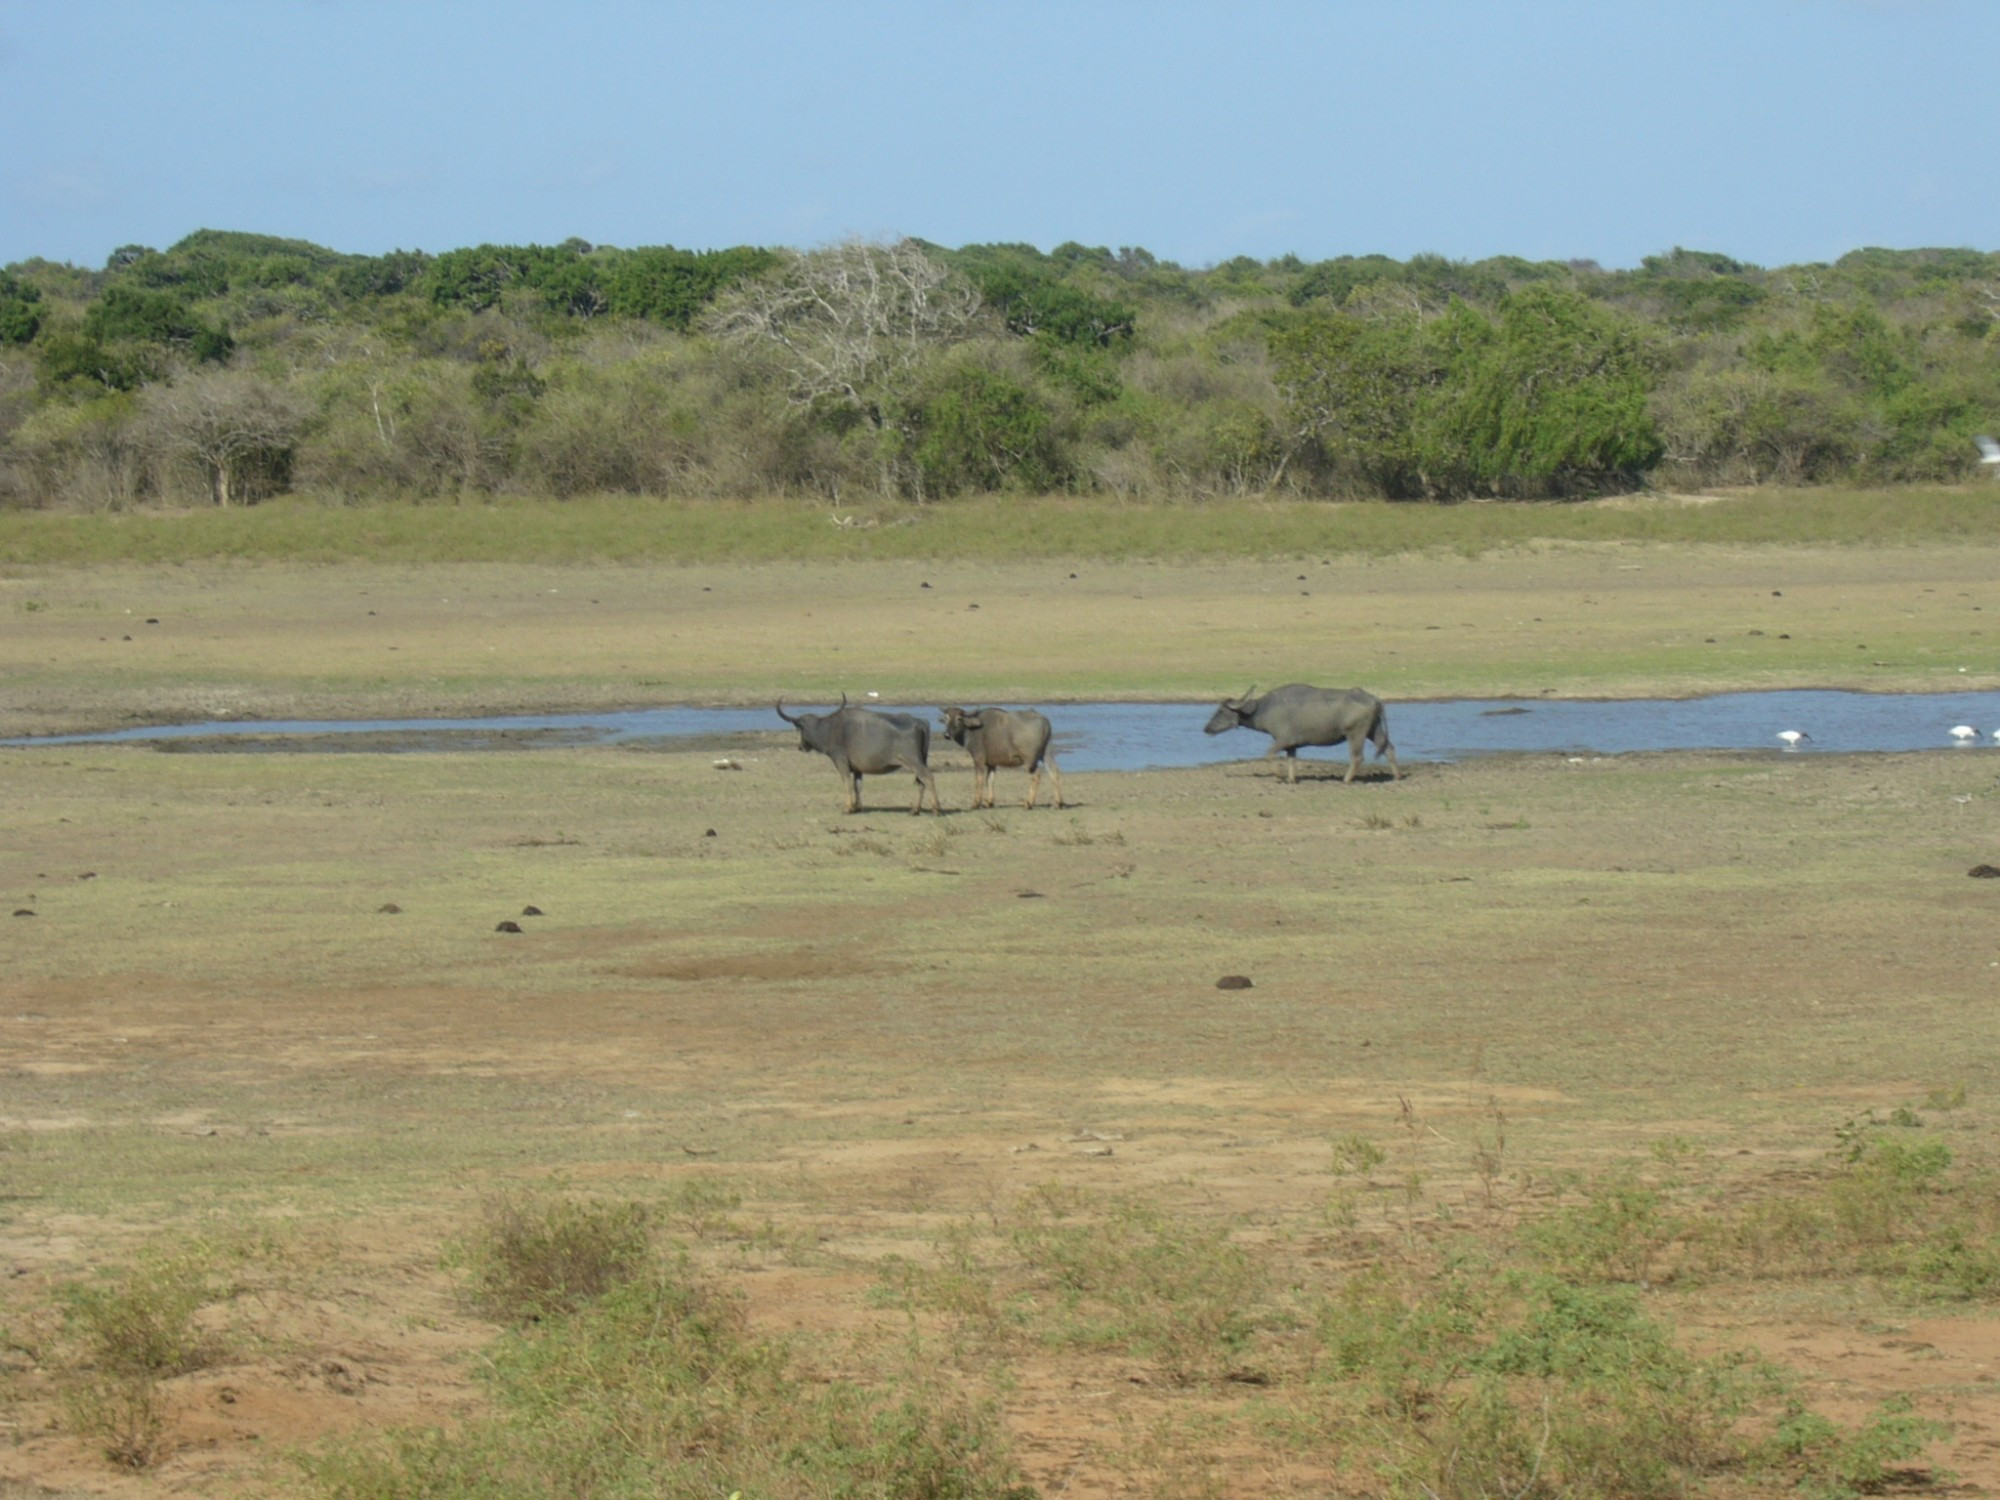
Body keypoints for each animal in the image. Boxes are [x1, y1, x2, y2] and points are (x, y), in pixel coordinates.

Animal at [776, 700, 940, 816]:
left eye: (798, 729)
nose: (800, 746)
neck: (828, 728)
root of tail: (919, 721)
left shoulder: (841, 762)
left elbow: (847, 783)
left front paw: (848, 808)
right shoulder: (857, 769)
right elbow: (857, 785)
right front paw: (857, 807)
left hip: (914, 762)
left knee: (928, 778)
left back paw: (936, 809)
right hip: (920, 761)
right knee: (921, 783)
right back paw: (915, 810)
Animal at [936, 708, 1064, 812]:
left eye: (959, 718)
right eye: (946, 718)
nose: (946, 734)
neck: (972, 730)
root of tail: (1043, 720)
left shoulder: (978, 760)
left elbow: (979, 780)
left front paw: (976, 803)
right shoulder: (992, 764)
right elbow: (990, 780)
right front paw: (989, 802)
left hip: (1029, 760)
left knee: (1036, 775)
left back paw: (1028, 804)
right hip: (1047, 754)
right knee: (1054, 772)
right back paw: (1057, 803)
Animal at [1208, 684, 1400, 788]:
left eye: (1220, 711)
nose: (1207, 728)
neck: (1264, 709)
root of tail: (1374, 700)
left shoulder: (1282, 740)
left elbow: (1268, 755)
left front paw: (1279, 775)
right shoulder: (1291, 746)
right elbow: (1291, 761)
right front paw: (1291, 779)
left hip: (1356, 733)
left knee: (1357, 757)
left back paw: (1346, 780)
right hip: (1373, 730)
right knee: (1388, 747)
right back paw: (1397, 776)